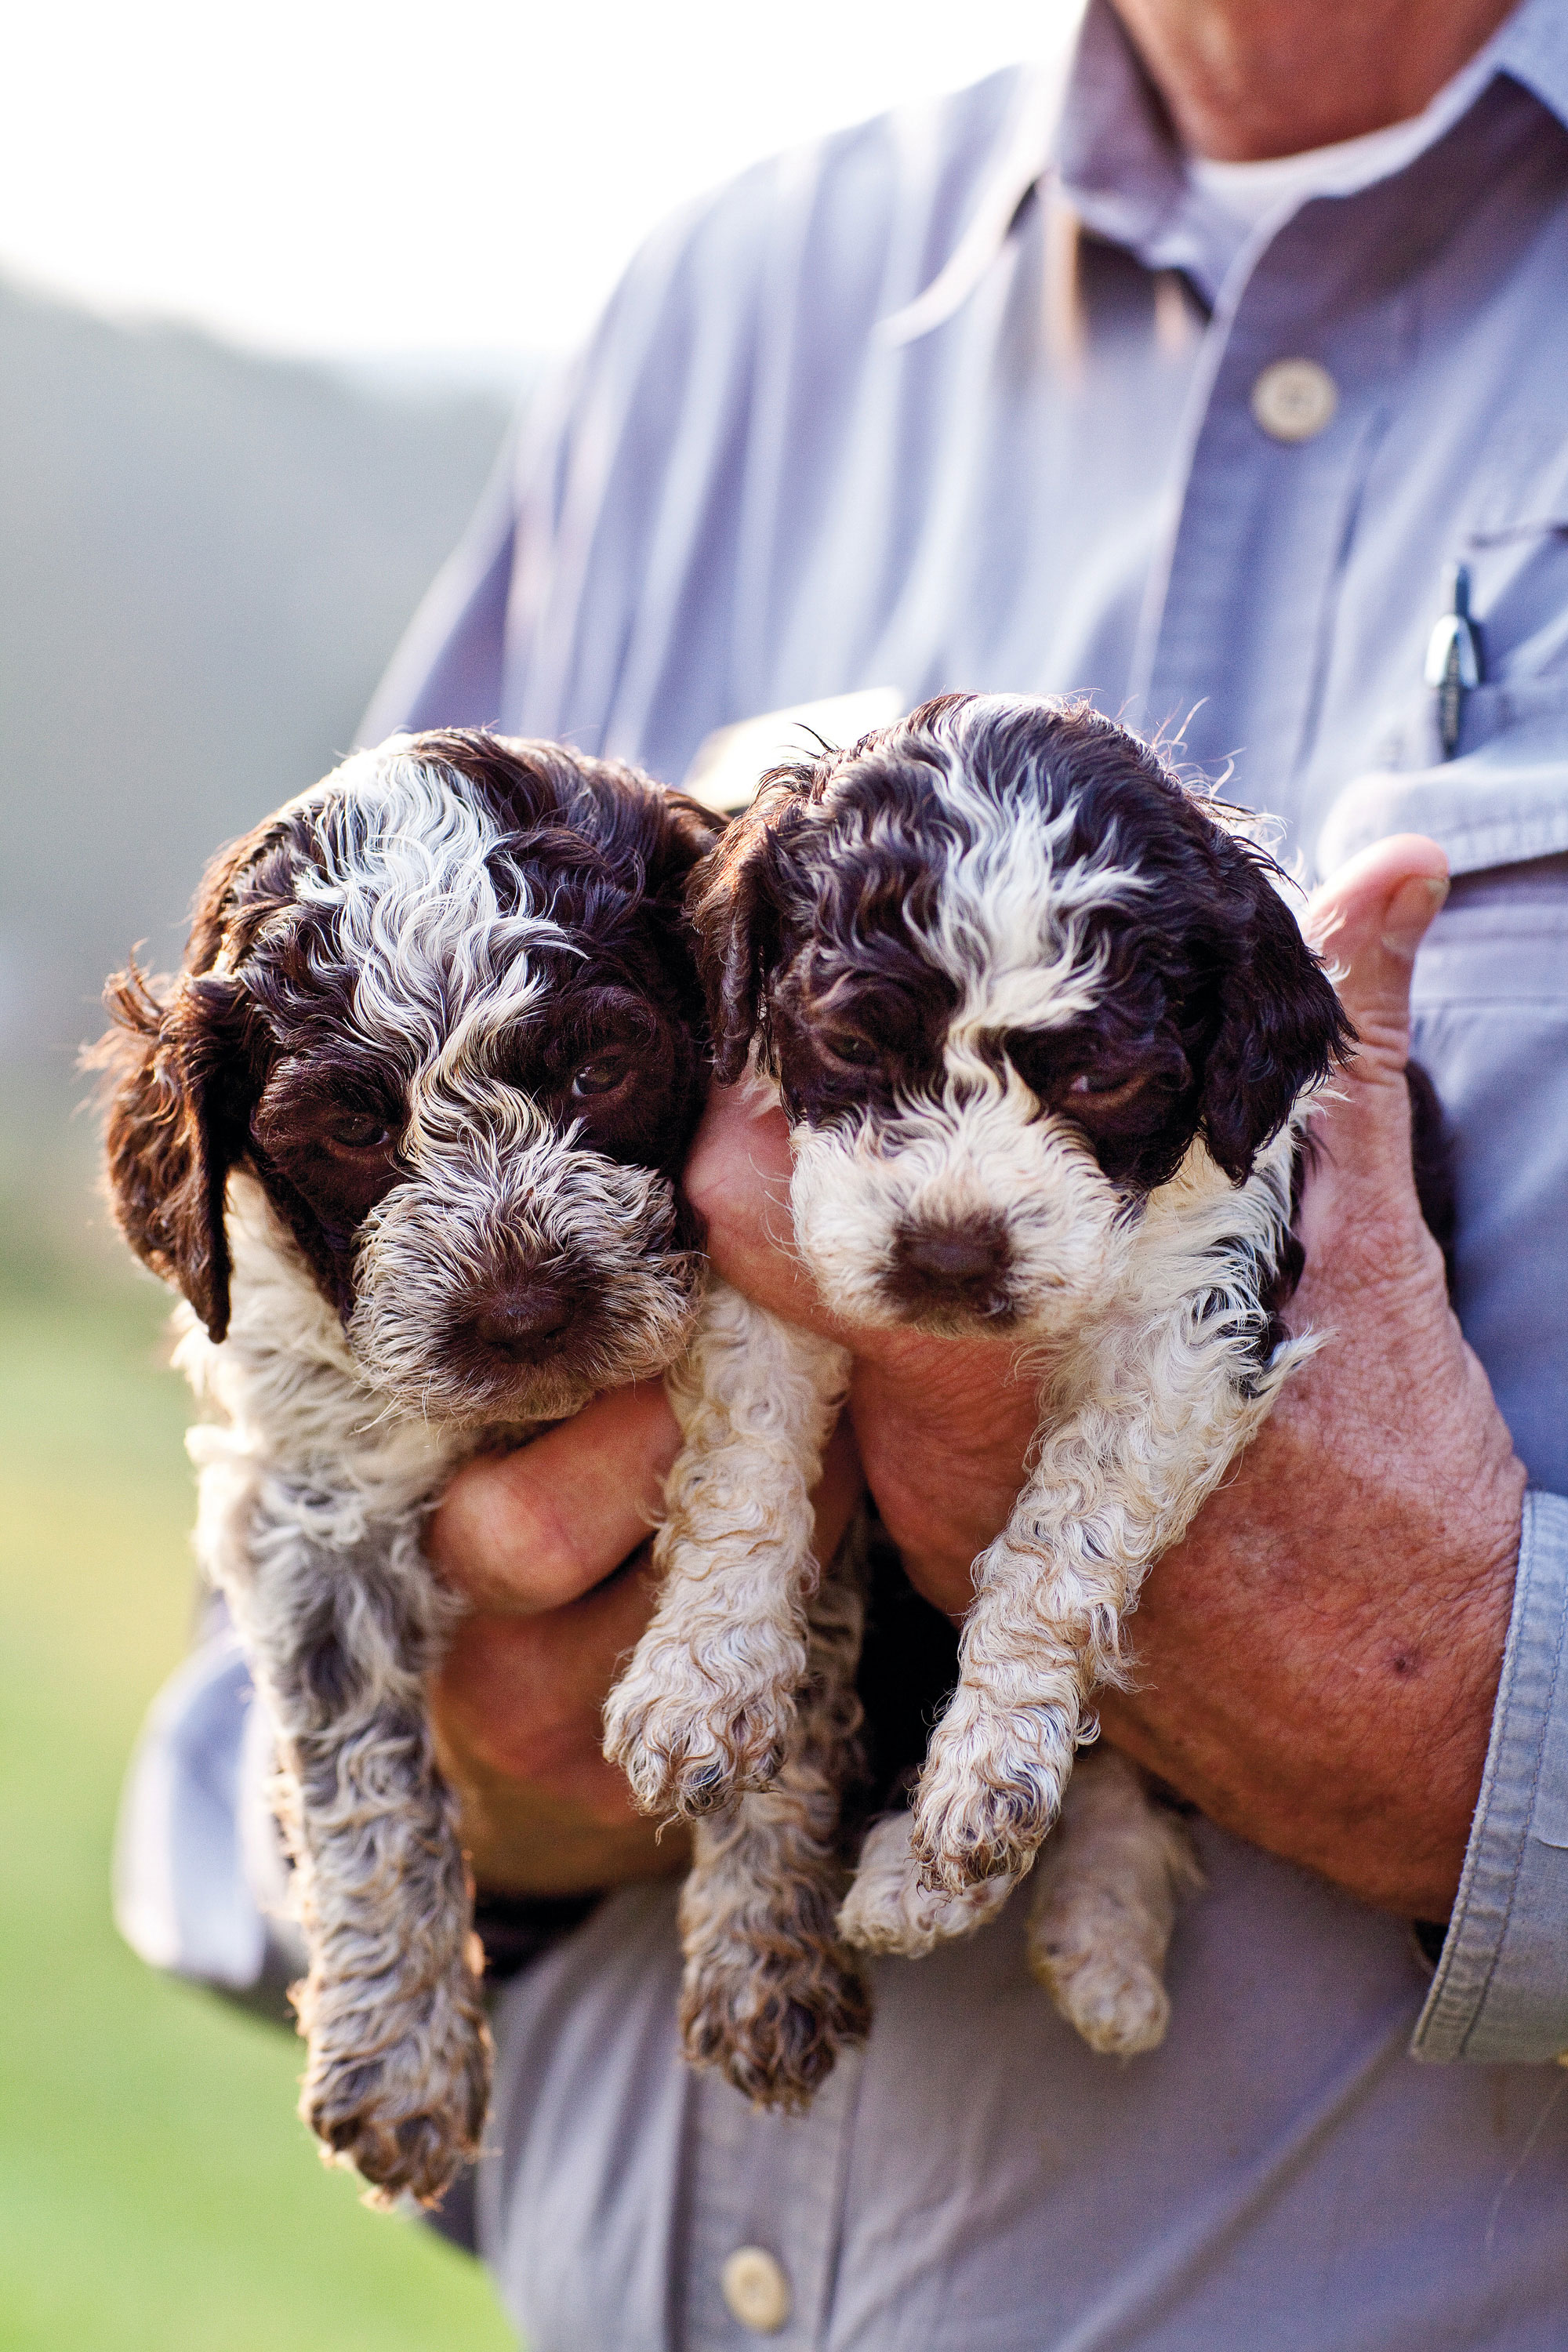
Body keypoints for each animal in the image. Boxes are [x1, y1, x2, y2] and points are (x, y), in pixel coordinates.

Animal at [100, 729, 869, 2201]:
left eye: (599, 1073)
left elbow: (786, 1670)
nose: (520, 1311)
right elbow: (361, 1781)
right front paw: (398, 2055)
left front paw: (766, 1953)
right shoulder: (307, 1507)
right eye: (352, 1130)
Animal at [620, 687, 1354, 2051]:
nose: (952, 1254)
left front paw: (992, 1770)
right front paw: (701, 1674)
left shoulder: (1197, 1317)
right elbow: (742, 1469)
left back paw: (1014, 1912)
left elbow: (1063, 1544)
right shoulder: (777, 1256)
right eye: (856, 1041)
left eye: (1106, 1079)